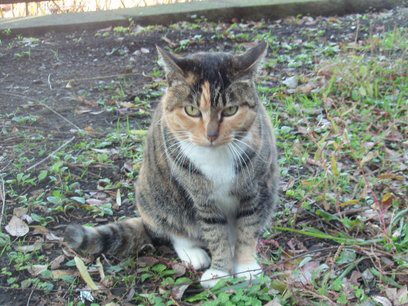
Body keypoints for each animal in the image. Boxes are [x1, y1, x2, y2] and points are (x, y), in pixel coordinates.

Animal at [64, 41, 280, 288]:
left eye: (230, 110)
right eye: (192, 110)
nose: (211, 135)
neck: (216, 157)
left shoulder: (254, 190)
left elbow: (247, 228)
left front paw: (246, 267)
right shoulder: (202, 198)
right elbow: (215, 234)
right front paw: (219, 272)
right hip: (156, 197)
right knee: (173, 228)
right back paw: (192, 252)